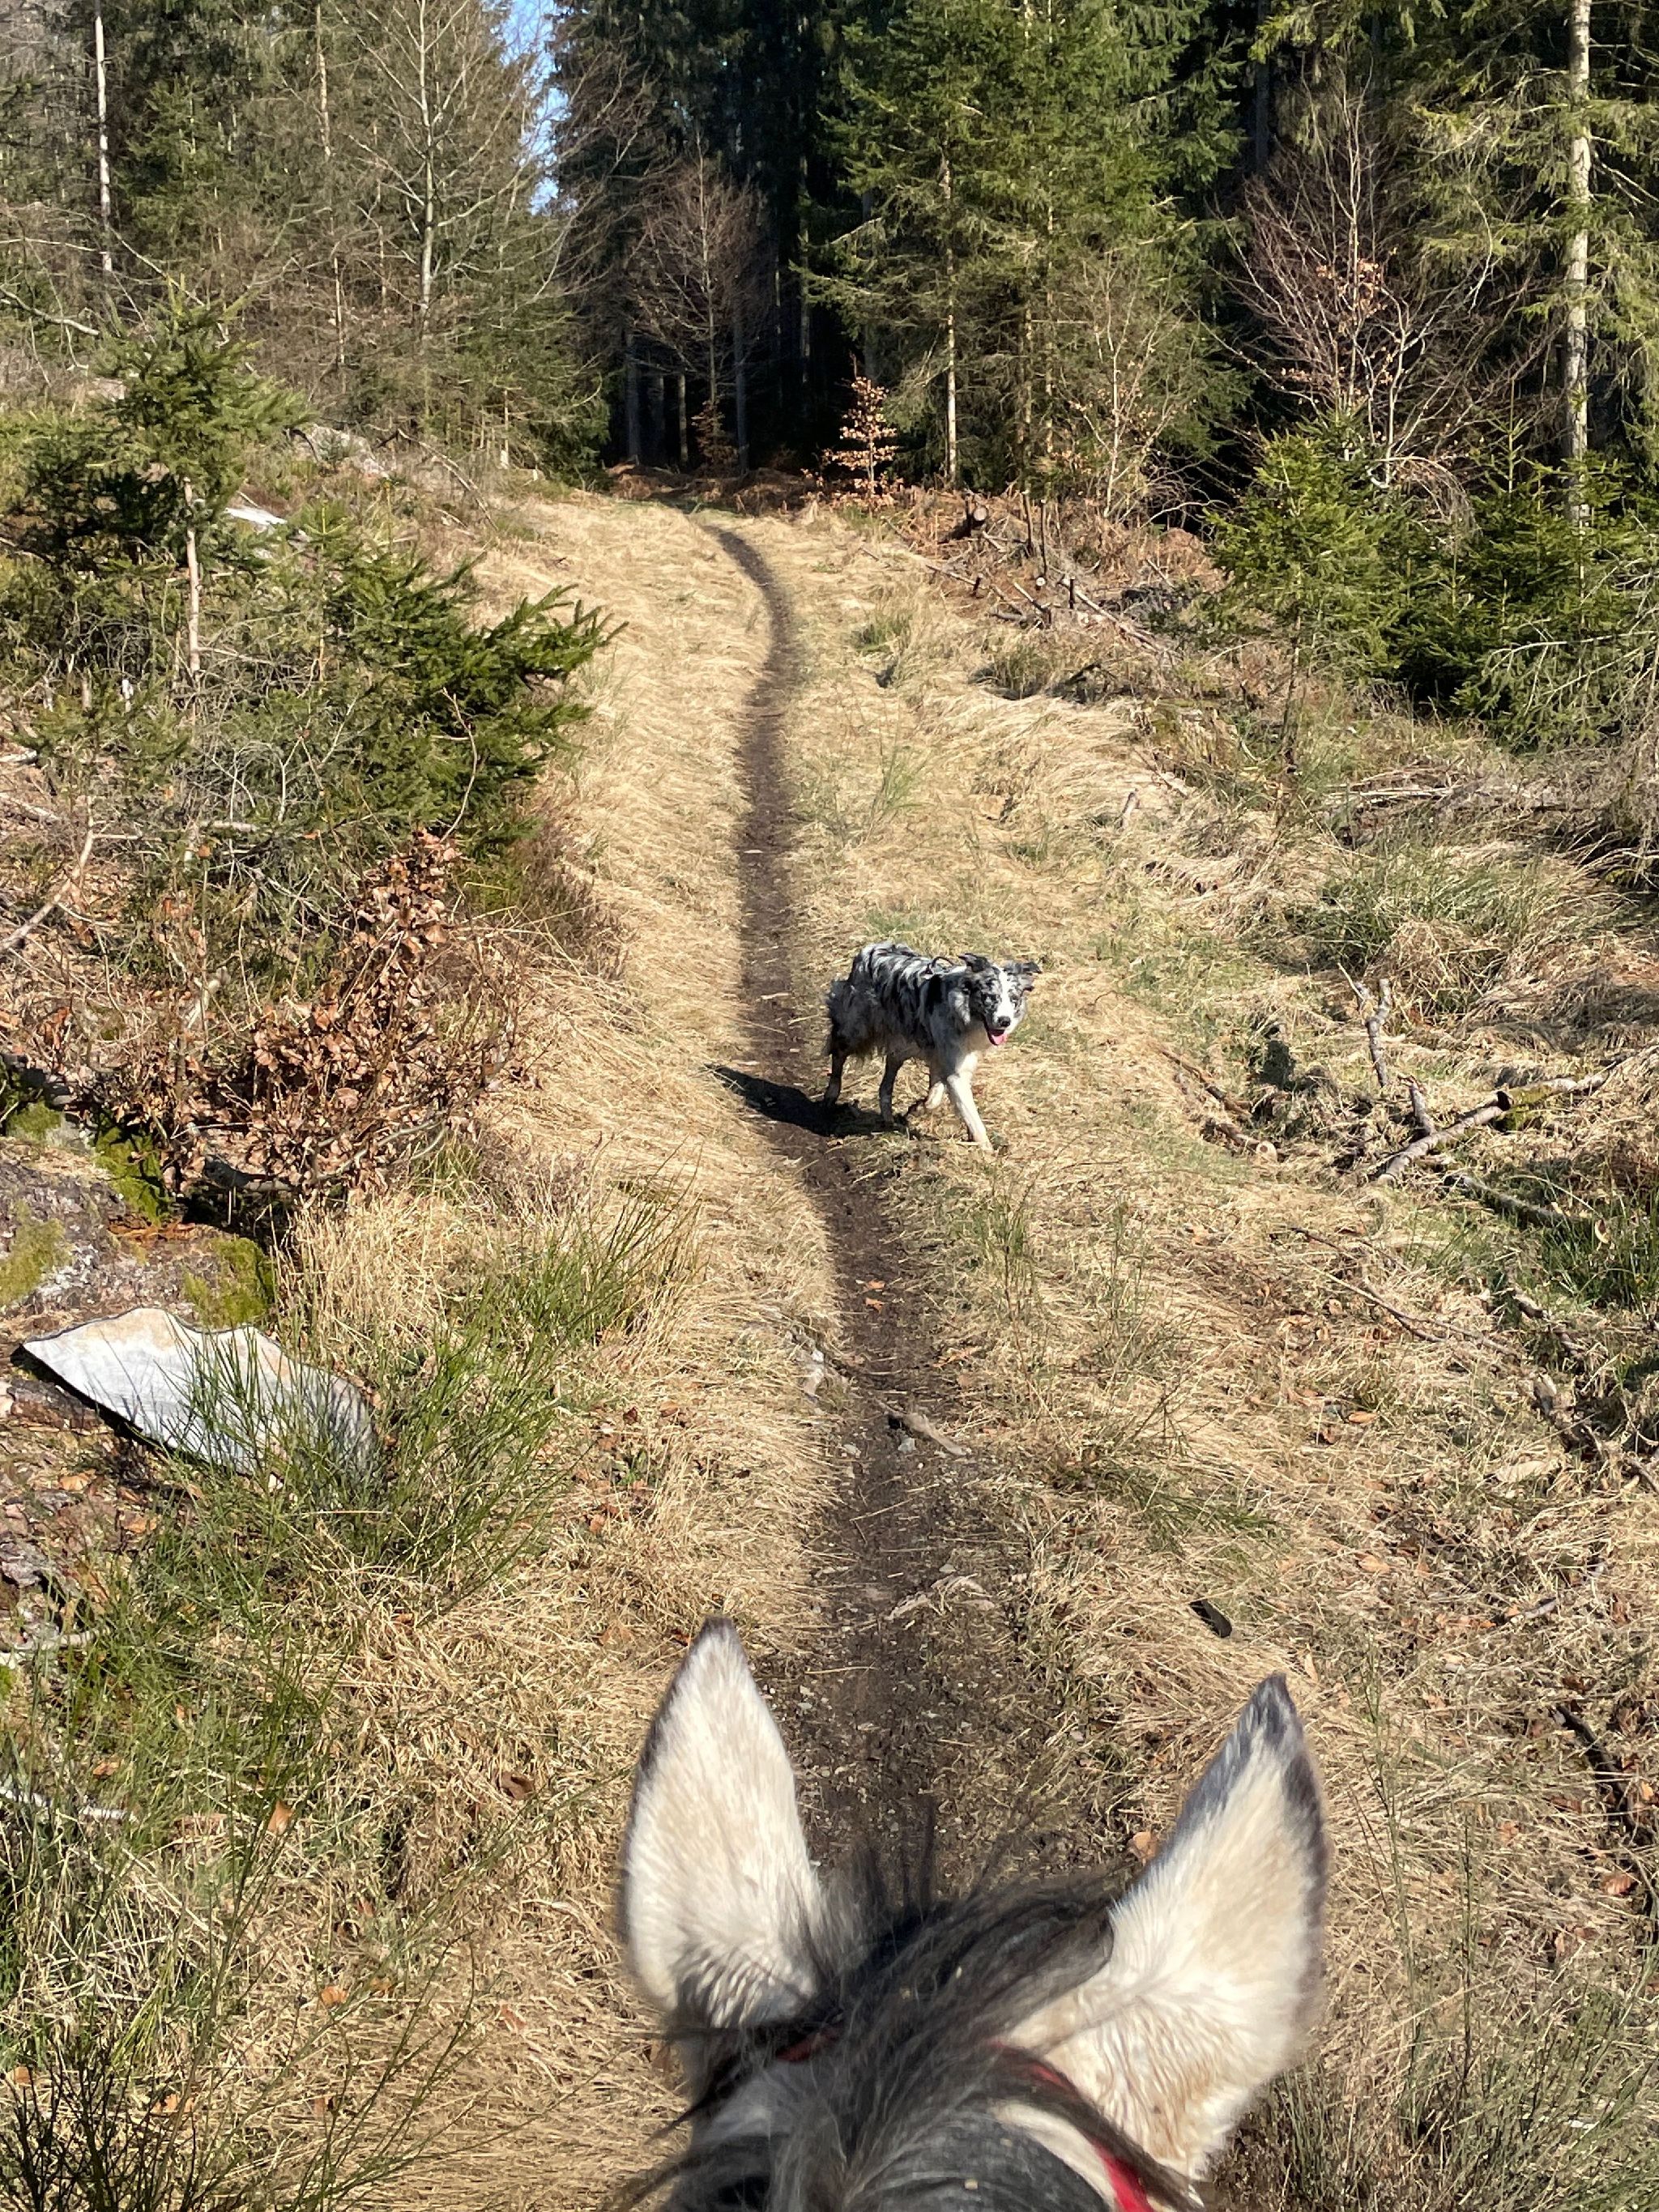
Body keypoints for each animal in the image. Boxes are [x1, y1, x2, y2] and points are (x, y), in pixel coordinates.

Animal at [823, 941, 1040, 1151]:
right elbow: (972, 1116)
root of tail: (869, 950)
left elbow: (935, 1097)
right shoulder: (955, 1071)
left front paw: (919, 1108)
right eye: (990, 997)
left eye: (1014, 999)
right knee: (838, 1054)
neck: (963, 1014)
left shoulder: (945, 1059)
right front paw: (987, 1150)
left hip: (901, 1047)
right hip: (856, 1031)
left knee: (885, 1085)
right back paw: (831, 1095)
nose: (1005, 1021)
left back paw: (889, 1119)